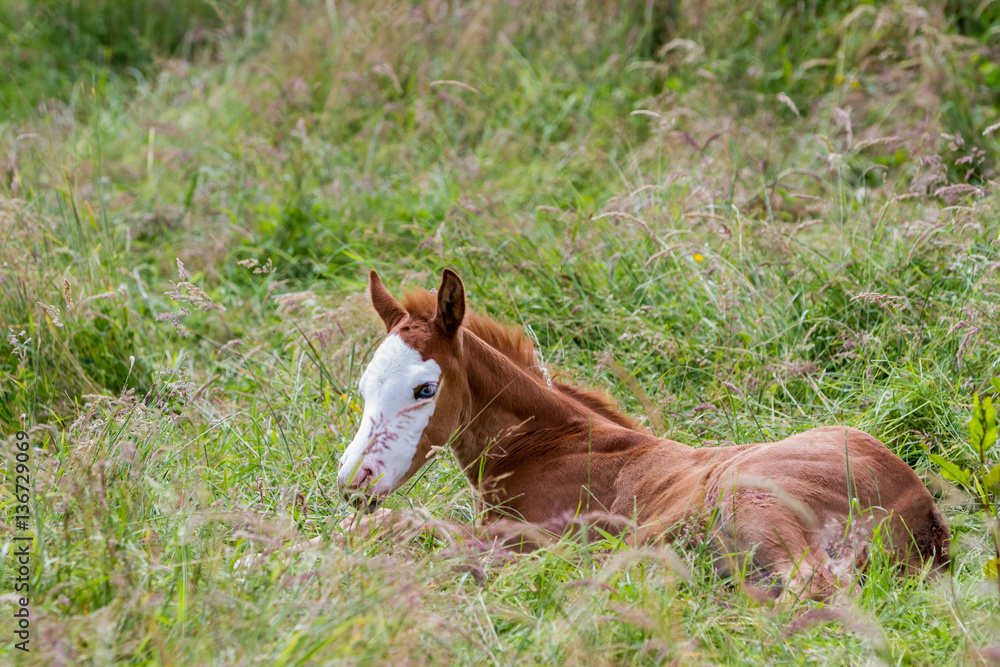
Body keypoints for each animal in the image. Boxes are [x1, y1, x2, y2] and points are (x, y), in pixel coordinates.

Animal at [337, 268, 950, 601]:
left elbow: (396, 528)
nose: (354, 480)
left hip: (742, 497)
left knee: (811, 589)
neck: (551, 443)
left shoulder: (532, 533)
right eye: (364, 386)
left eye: (424, 388)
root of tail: (919, 508)